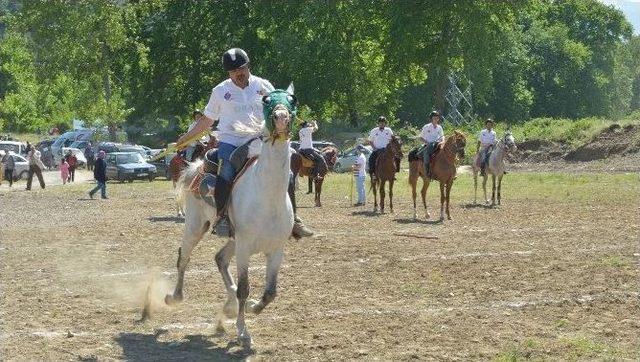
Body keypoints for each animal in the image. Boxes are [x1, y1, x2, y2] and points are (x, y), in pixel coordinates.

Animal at [165, 86, 296, 346]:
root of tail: (197, 168)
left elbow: (270, 292)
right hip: (196, 226)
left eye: (292, 100)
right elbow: (245, 288)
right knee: (183, 256)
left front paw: (253, 307)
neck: (268, 196)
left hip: (233, 240)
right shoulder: (244, 248)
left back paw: (228, 305)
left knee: (220, 259)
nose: (281, 118)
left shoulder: (276, 249)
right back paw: (175, 296)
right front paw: (243, 332)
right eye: (267, 101)